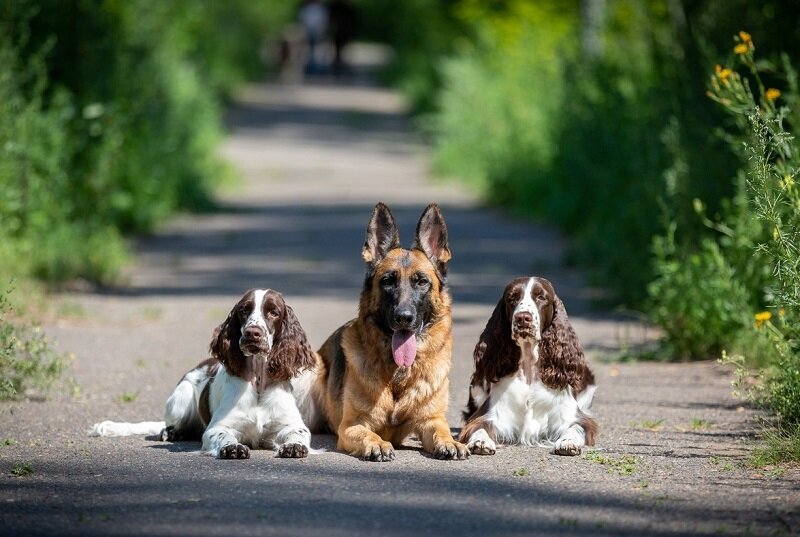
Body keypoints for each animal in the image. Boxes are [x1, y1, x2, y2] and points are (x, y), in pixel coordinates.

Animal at [294, 202, 468, 460]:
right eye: (388, 281)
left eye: (422, 282)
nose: (403, 318)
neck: (399, 375)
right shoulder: (351, 426)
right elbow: (368, 434)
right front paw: (377, 444)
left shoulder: (431, 420)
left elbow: (441, 431)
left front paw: (451, 442)